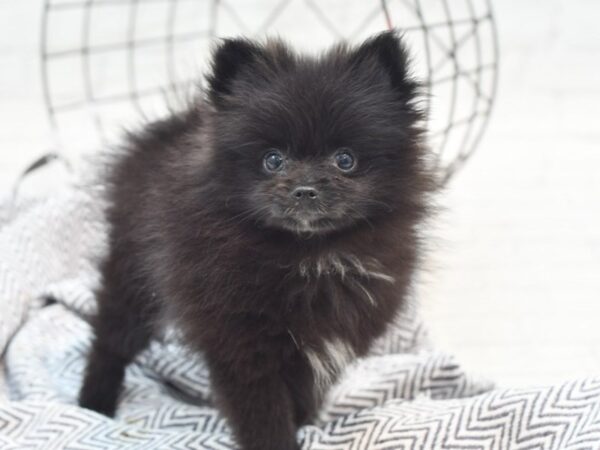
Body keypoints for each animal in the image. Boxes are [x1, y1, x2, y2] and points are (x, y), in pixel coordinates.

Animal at [81, 31, 436, 450]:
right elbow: (262, 411)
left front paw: (305, 424)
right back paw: (93, 402)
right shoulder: (241, 343)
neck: (311, 256)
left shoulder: (322, 343)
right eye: (273, 160)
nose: (305, 189)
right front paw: (279, 439)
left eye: (345, 160)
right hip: (133, 274)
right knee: (111, 339)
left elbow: (301, 396)